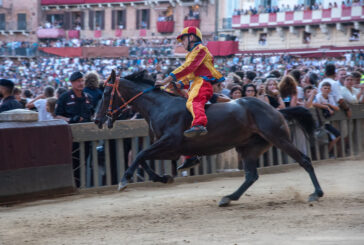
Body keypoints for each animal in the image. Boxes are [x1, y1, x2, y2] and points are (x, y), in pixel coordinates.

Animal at [94, 71, 324, 207]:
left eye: (105, 92)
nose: (96, 119)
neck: (160, 106)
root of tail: (276, 109)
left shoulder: (170, 144)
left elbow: (140, 155)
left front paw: (124, 180)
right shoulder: (166, 147)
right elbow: (142, 159)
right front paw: (163, 177)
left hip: (278, 138)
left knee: (304, 160)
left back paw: (316, 193)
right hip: (248, 147)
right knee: (251, 176)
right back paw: (229, 198)